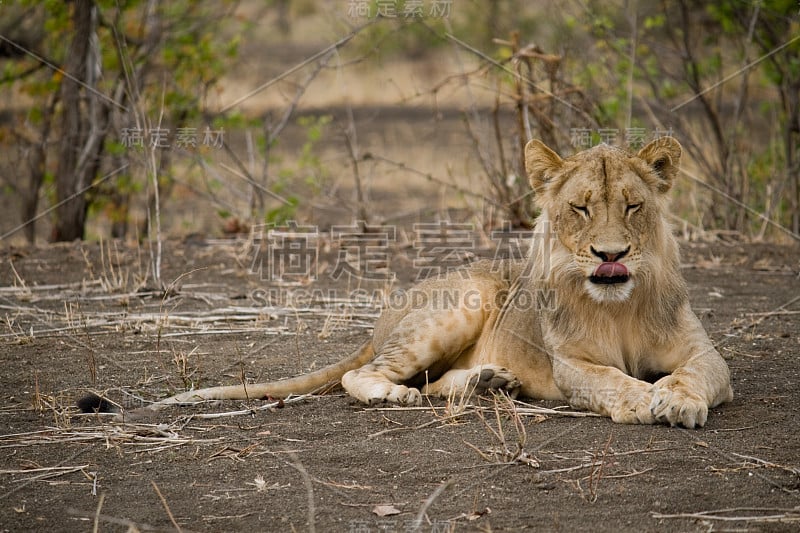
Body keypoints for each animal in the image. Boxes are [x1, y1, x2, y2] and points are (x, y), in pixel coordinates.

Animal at [78, 137, 736, 428]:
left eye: (632, 206)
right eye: (580, 208)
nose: (610, 255)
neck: (619, 305)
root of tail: (384, 319)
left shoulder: (703, 352)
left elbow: (698, 373)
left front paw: (677, 399)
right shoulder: (571, 362)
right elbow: (607, 379)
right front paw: (642, 400)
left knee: (435, 380)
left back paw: (489, 383)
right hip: (460, 305)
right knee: (363, 374)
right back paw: (401, 395)